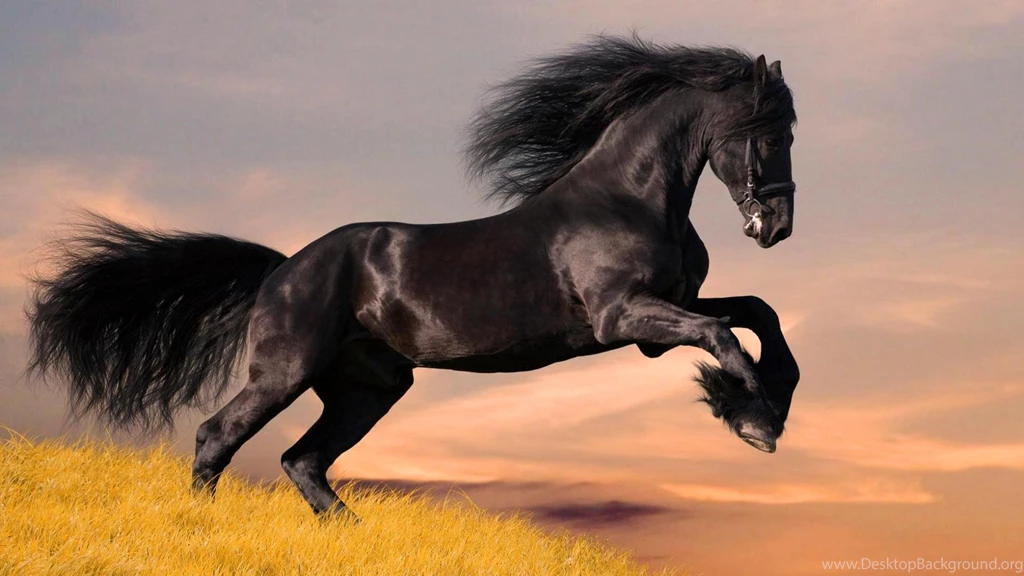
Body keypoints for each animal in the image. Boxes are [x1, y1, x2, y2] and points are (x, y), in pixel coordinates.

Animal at [27, 35, 800, 519]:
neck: (628, 198)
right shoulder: (623, 318)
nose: (777, 227)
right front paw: (752, 420)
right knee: (218, 437)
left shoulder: (661, 317)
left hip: (368, 388)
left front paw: (765, 404)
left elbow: (757, 313)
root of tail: (282, 270)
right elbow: (723, 335)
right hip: (285, 371)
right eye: (769, 131)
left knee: (303, 460)